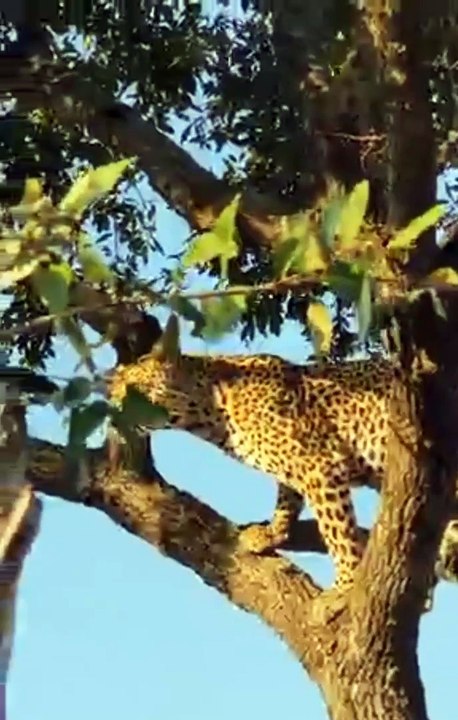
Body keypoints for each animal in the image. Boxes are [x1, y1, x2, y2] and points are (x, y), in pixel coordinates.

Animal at [108, 352, 458, 591]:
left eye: (133, 388)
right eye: (113, 392)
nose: (113, 410)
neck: (210, 409)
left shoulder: (319, 465)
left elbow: (337, 531)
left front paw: (345, 585)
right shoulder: (296, 467)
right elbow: (286, 501)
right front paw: (269, 534)